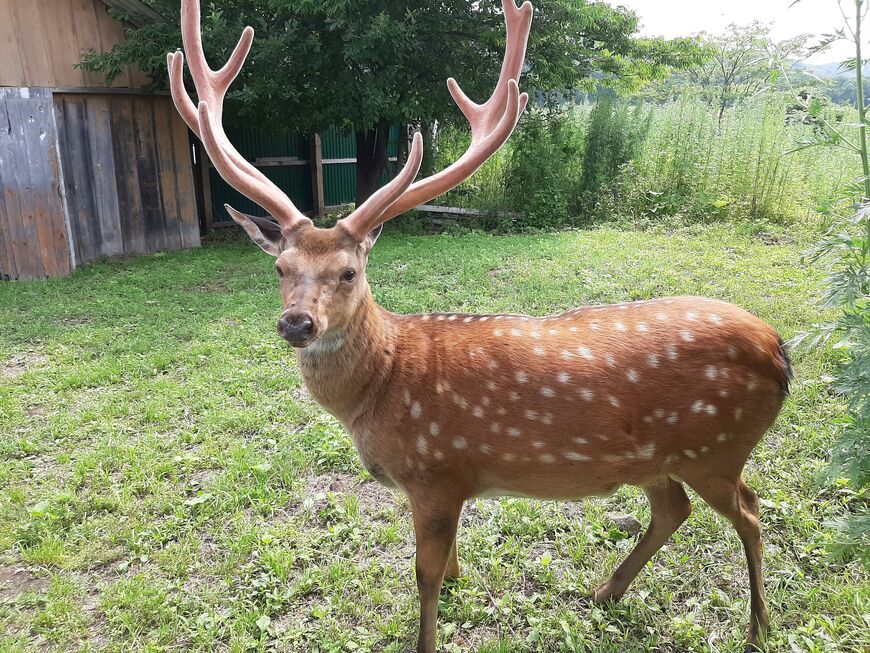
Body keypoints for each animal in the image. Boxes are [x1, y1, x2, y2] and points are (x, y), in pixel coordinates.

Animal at [167, 2, 792, 648]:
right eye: (280, 267)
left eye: (348, 271)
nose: (296, 322)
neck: (381, 387)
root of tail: (778, 349)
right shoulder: (448, 481)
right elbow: (448, 564)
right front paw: (462, 584)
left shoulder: (435, 469)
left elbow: (423, 575)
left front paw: (426, 636)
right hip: (658, 456)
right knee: (674, 509)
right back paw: (606, 591)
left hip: (715, 447)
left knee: (751, 511)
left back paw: (758, 626)